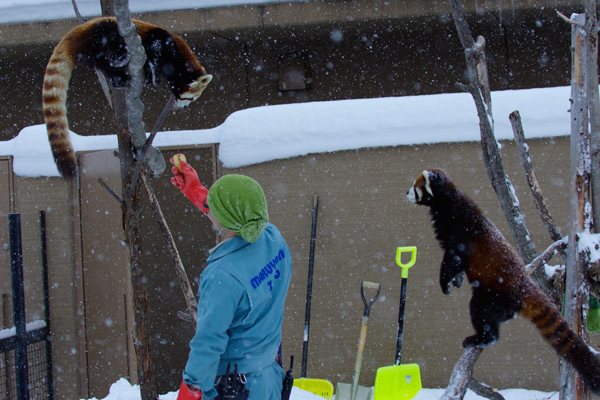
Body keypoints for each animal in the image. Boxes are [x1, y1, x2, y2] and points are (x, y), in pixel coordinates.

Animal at [42, 16, 211, 180]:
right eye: (190, 99)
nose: (183, 107)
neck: (179, 62)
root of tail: (75, 33)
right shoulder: (163, 41)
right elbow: (155, 50)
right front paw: (154, 74)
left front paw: (149, 77)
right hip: (102, 32)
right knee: (110, 41)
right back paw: (120, 58)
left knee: (105, 65)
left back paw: (120, 78)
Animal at [408, 168, 600, 394]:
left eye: (415, 187)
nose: (406, 192)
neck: (448, 202)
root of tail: (523, 285)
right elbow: (457, 267)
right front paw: (457, 281)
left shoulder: (459, 231)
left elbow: (452, 261)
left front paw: (445, 284)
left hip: (493, 295)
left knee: (480, 311)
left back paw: (483, 338)